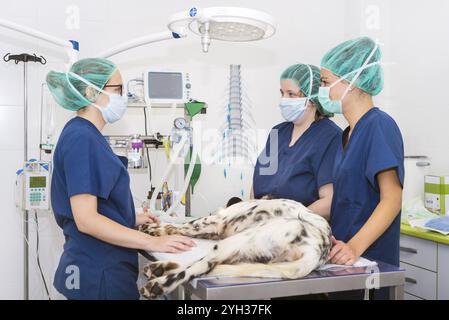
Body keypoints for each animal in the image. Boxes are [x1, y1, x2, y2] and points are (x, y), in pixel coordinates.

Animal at [138, 199, 330, 298]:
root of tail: (317, 249)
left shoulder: (215, 221)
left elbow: (179, 225)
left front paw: (151, 227)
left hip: (234, 242)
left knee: (199, 267)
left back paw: (158, 284)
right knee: (201, 265)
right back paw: (159, 268)